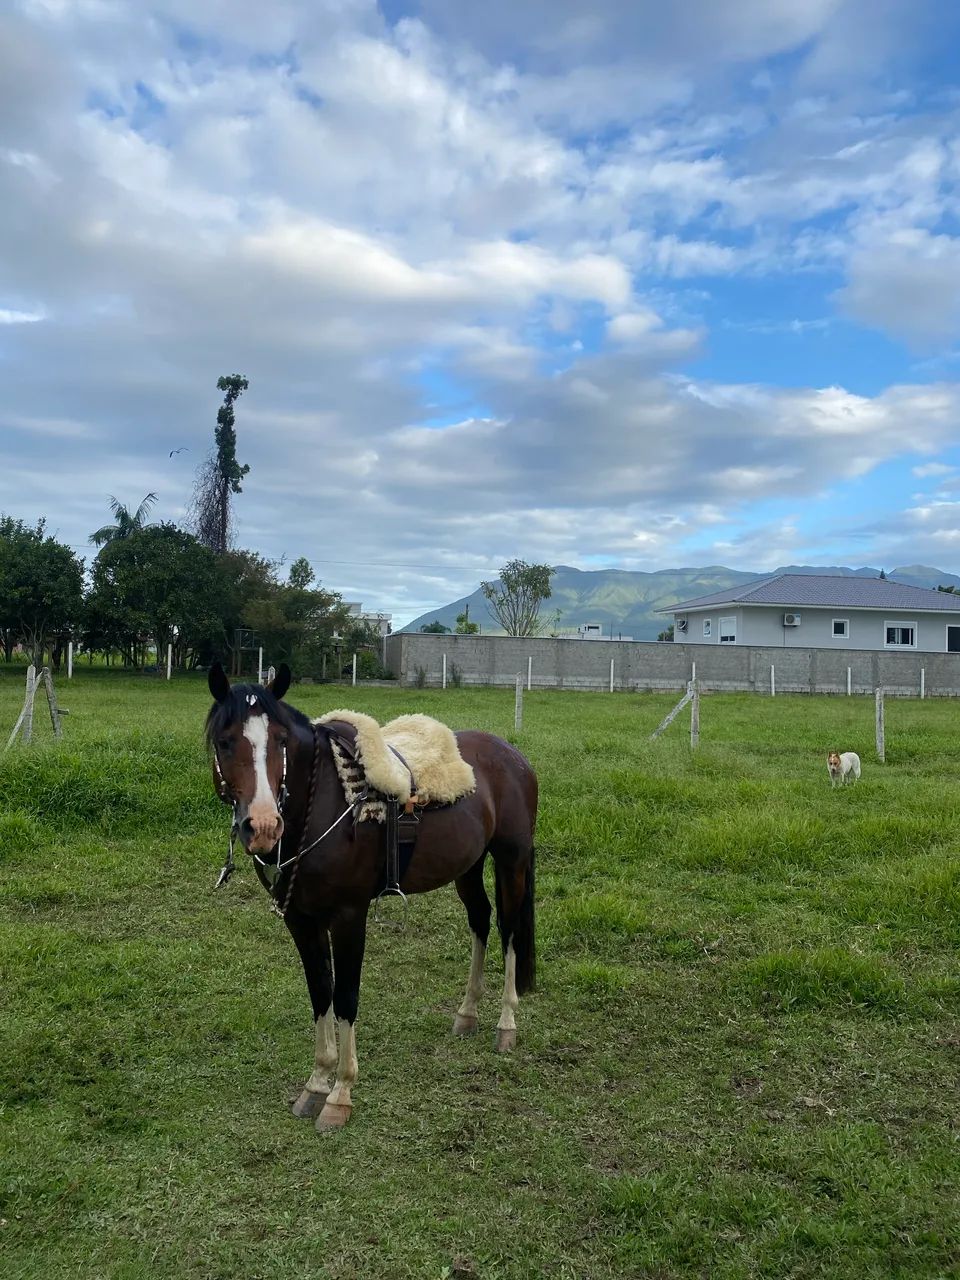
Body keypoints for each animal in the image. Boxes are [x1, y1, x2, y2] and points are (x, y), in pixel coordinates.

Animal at [204, 662, 538, 1133]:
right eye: (224, 740)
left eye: (281, 741)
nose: (265, 826)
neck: (321, 803)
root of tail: (512, 756)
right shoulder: (300, 919)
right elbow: (320, 992)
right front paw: (316, 1084)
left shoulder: (348, 916)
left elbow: (346, 997)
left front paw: (340, 1094)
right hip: (468, 867)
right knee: (481, 920)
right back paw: (467, 1013)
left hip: (511, 860)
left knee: (509, 930)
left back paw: (506, 1023)